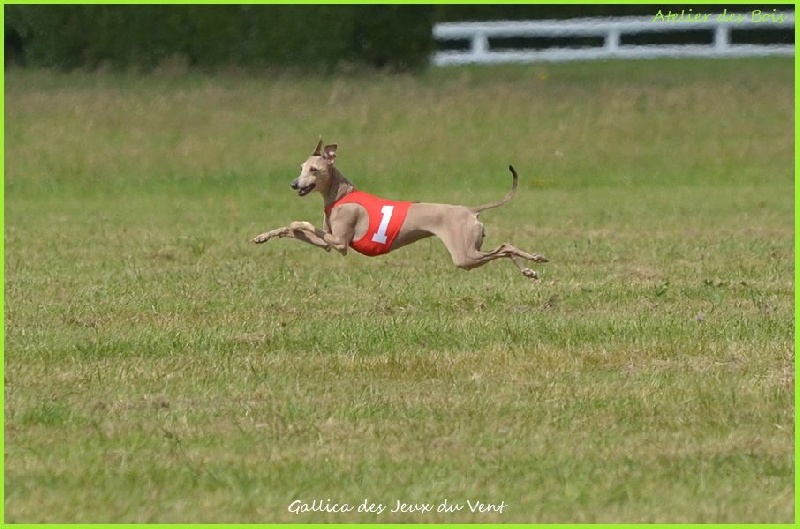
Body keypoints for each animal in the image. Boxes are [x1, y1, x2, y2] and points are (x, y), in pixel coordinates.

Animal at [252, 139, 547, 278]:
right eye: (301, 167)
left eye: (314, 170)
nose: (294, 184)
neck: (341, 194)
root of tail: (469, 210)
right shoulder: (328, 243)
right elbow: (289, 229)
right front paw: (262, 236)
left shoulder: (340, 243)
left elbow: (299, 224)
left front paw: (291, 225)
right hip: (470, 251)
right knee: (504, 248)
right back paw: (529, 269)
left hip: (464, 255)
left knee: (505, 247)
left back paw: (535, 260)